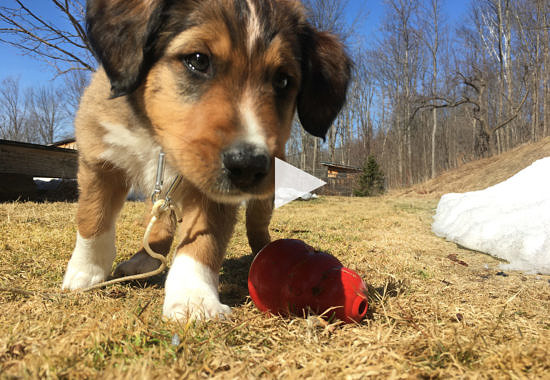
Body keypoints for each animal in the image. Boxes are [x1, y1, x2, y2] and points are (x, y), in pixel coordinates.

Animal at [62, 0, 352, 320]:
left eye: (283, 80)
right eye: (198, 60)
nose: (249, 165)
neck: (160, 142)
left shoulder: (215, 196)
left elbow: (203, 243)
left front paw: (193, 299)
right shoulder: (100, 159)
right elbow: (93, 217)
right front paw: (85, 272)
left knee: (257, 224)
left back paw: (266, 251)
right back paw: (144, 259)